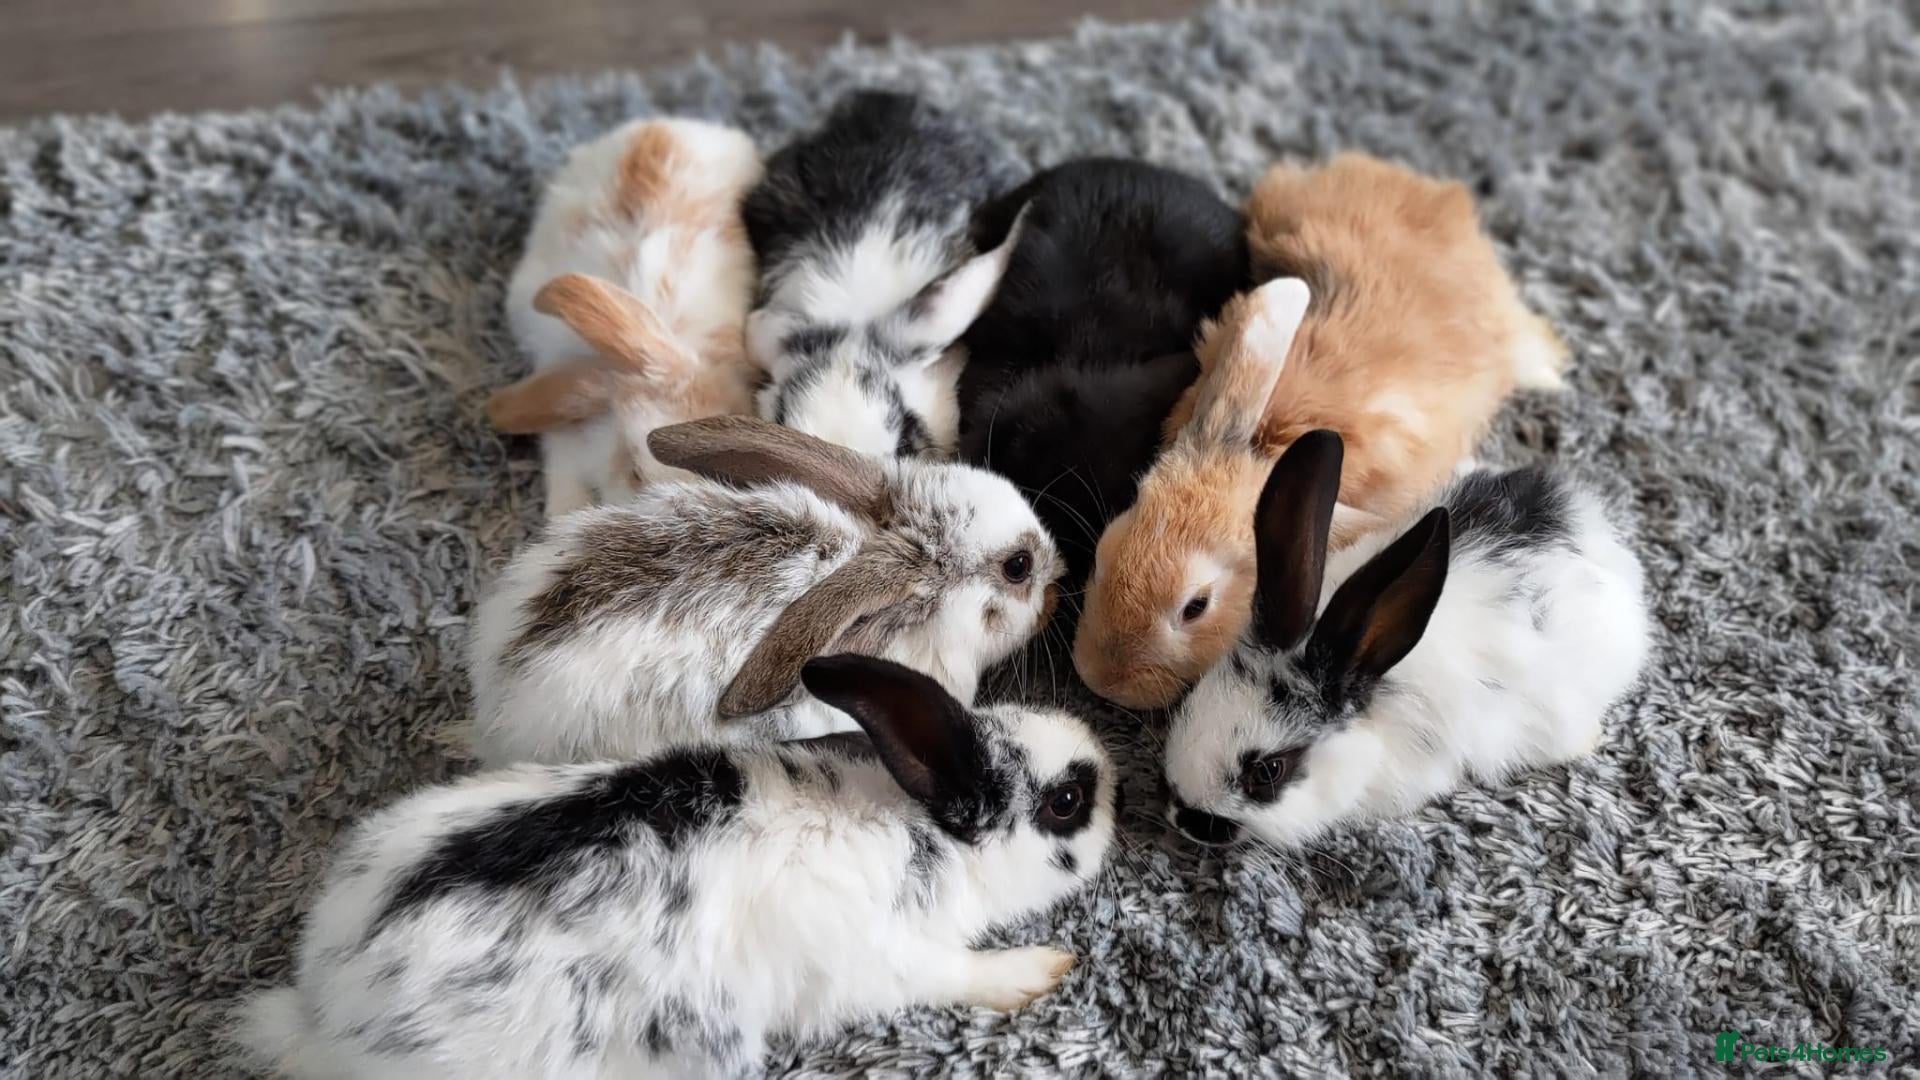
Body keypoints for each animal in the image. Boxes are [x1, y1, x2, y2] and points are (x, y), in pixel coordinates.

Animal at [237, 653, 1118, 1080]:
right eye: (1068, 801)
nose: (1115, 777)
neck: (920, 826)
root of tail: (328, 1011)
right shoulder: (878, 961)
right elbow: (951, 974)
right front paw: (1037, 971)